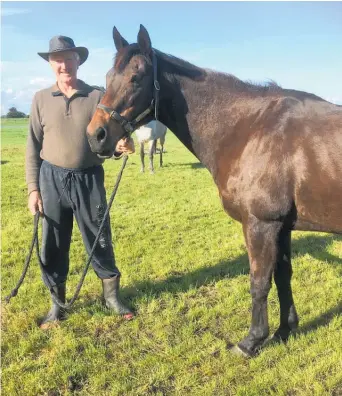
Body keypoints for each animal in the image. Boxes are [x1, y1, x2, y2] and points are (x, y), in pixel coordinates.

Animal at [87, 25, 342, 358]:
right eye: (107, 77)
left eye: (136, 77)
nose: (96, 135)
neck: (250, 129)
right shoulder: (282, 227)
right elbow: (282, 277)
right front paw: (285, 330)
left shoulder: (261, 224)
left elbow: (259, 282)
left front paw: (251, 341)